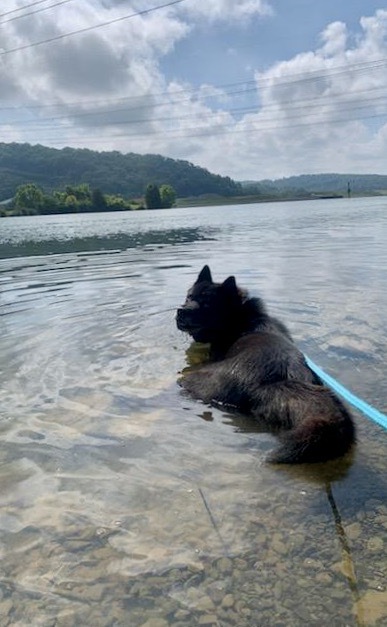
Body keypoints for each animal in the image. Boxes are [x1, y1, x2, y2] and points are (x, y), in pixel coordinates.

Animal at [177, 268, 356, 464]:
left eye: (207, 303)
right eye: (189, 297)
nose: (181, 311)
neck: (238, 318)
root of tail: (273, 381)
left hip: (194, 379)